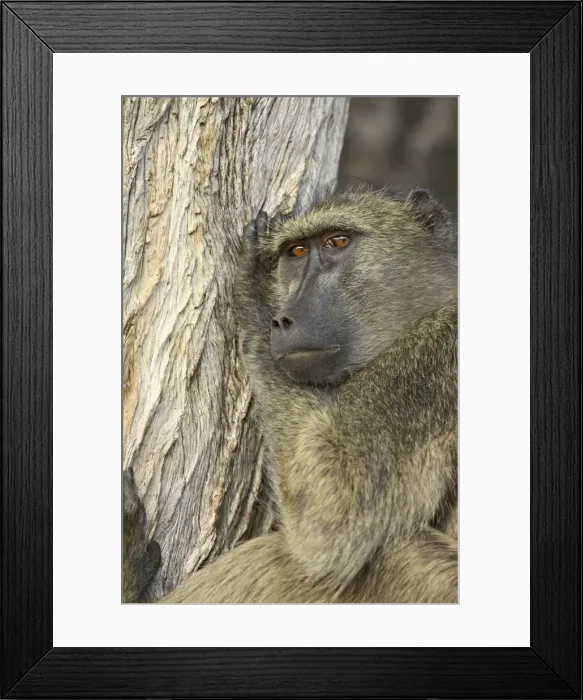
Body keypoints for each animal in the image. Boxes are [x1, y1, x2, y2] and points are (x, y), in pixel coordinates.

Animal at [124, 187, 458, 604]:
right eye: (296, 252)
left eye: (338, 242)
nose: (282, 320)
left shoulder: (426, 369)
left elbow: (329, 521)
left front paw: (253, 289)